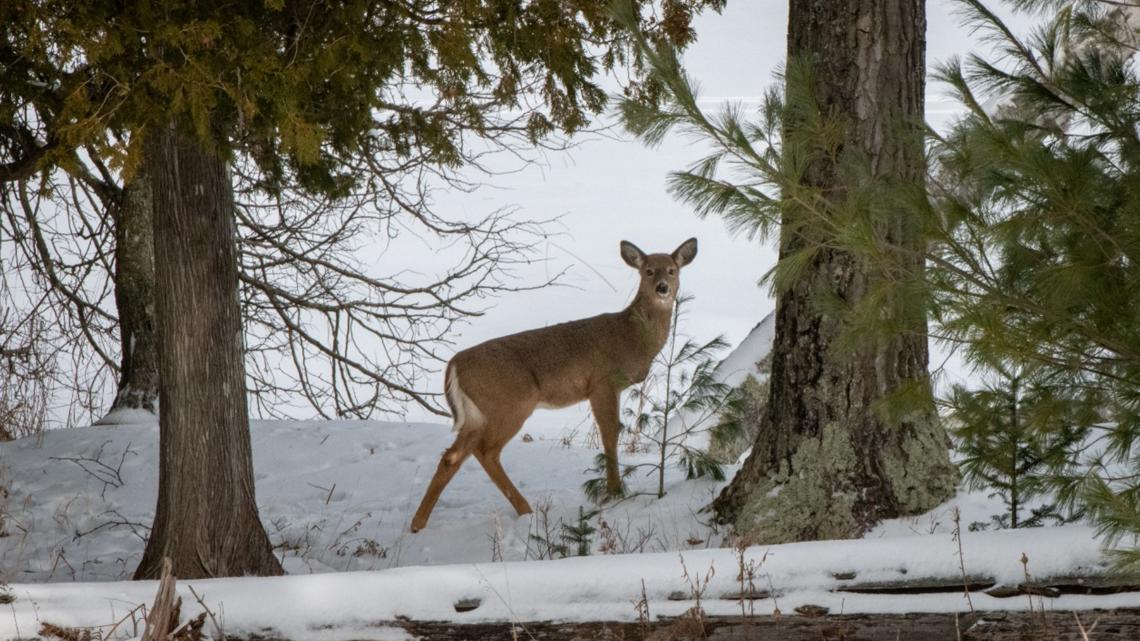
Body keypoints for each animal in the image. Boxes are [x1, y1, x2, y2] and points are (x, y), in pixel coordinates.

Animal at [410, 238, 698, 532]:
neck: (632, 338)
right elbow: (610, 435)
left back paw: (417, 523)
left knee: (453, 456)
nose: (662, 287)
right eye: (648, 271)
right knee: (486, 451)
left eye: (672, 270)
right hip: (509, 404)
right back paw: (525, 509)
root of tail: (454, 363)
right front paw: (614, 491)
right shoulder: (602, 383)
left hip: (477, 413)